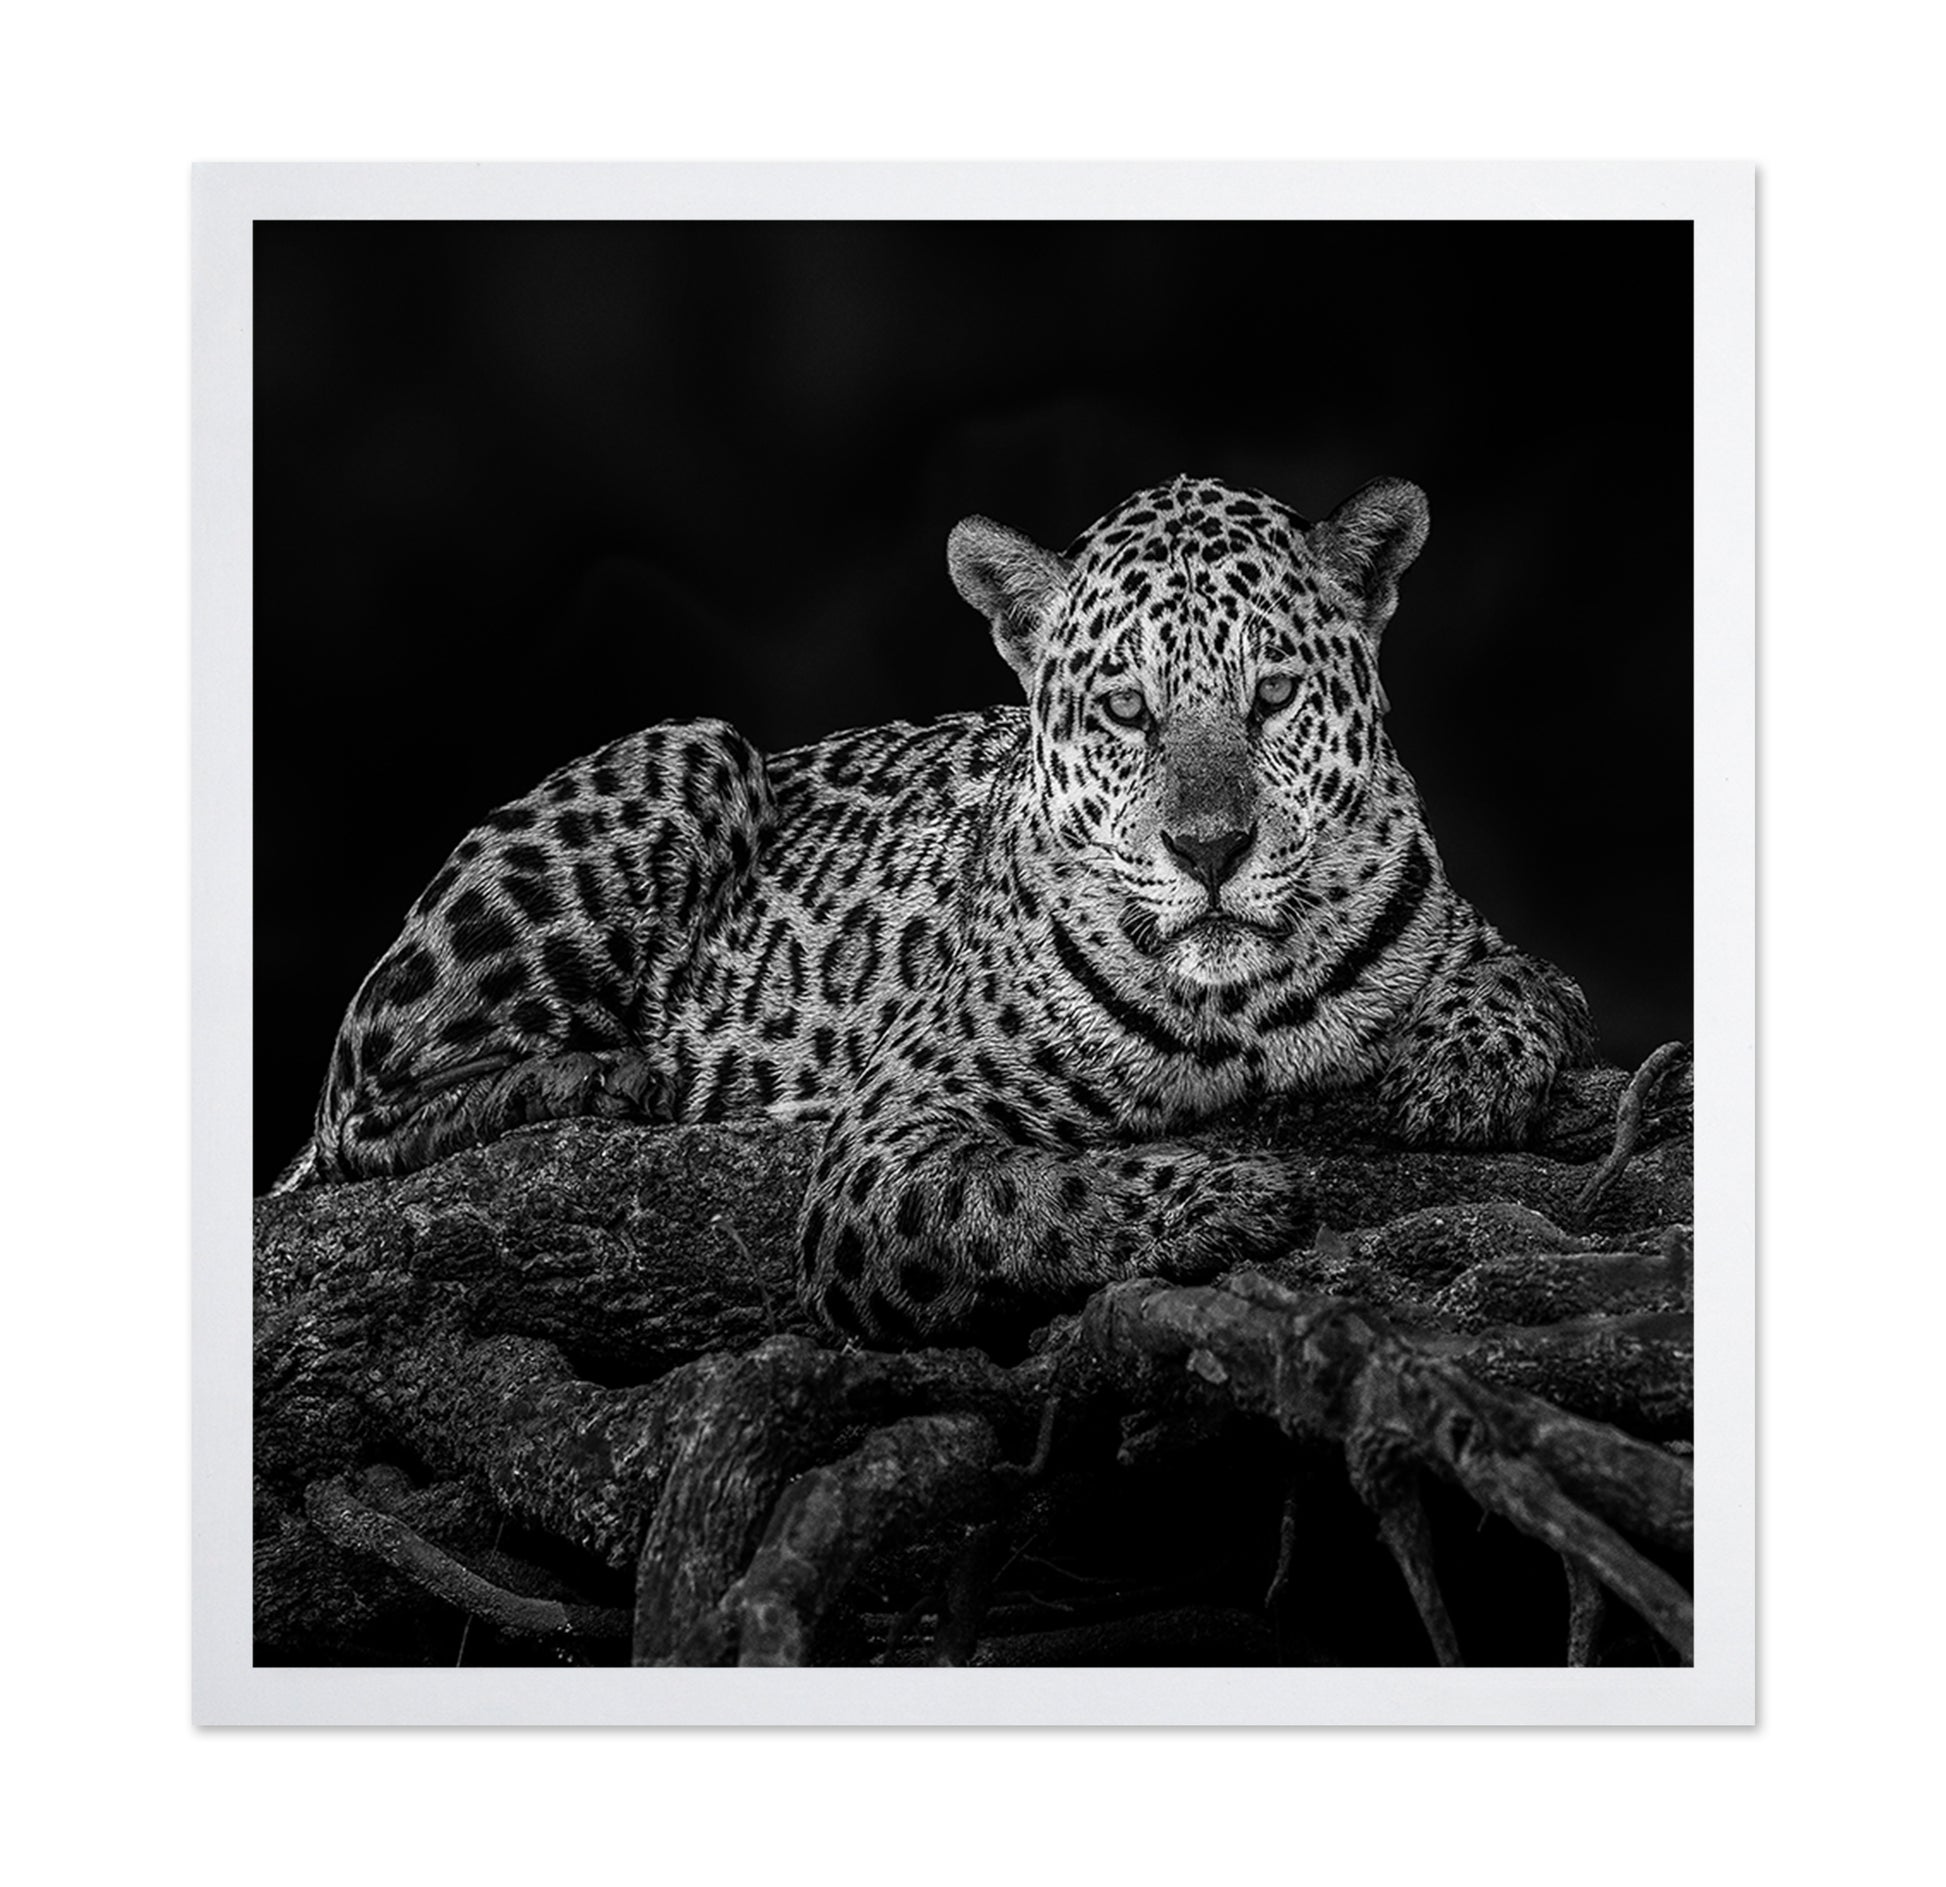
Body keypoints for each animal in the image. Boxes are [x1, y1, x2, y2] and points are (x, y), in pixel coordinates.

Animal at [273, 473, 1594, 1349]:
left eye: (1269, 696)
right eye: (1125, 710)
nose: (1210, 849)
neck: (1242, 1003)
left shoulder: (1478, 941)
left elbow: (1528, 980)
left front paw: (1462, 1072)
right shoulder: (882, 1149)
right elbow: (1030, 1197)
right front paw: (1223, 1193)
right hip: (690, 748)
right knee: (357, 1110)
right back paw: (613, 1077)